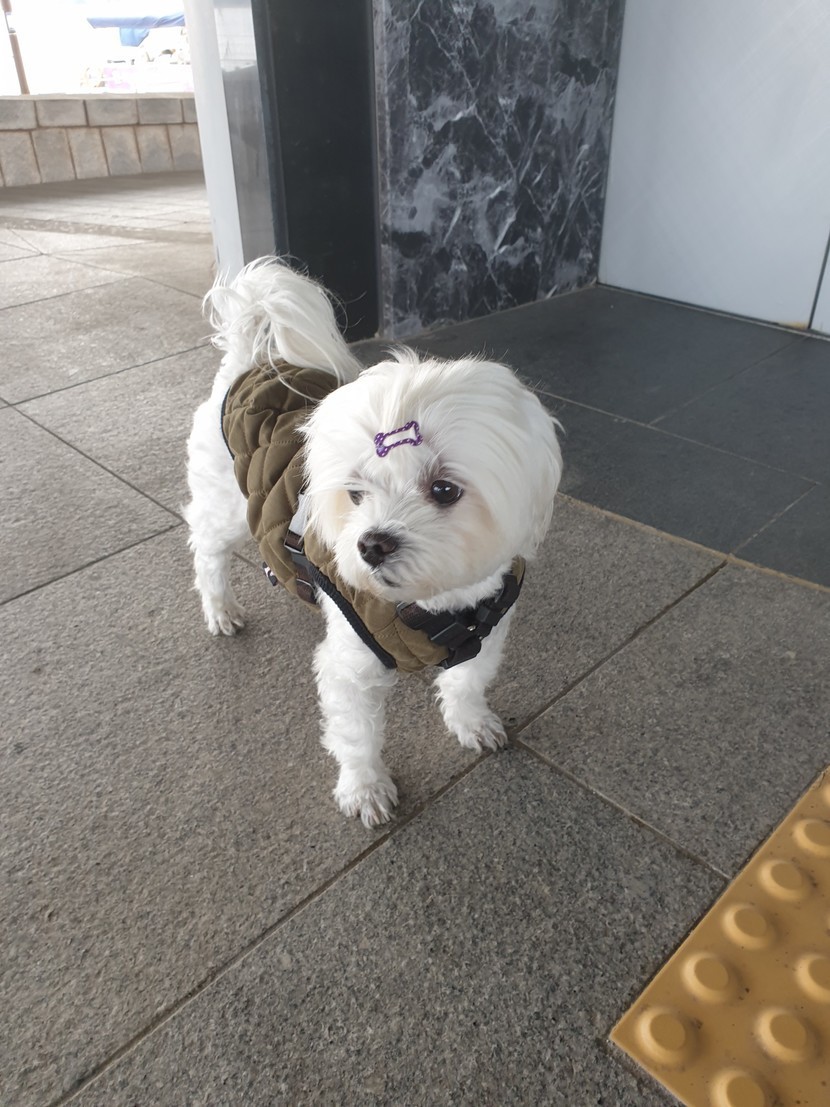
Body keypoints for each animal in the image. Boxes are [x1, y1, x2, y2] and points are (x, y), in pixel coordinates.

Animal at [185, 258, 562, 827]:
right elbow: (356, 733)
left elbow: (467, 682)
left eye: (444, 489)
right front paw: (365, 789)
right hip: (228, 503)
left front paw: (471, 722)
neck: (432, 607)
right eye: (355, 492)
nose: (372, 546)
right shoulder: (350, 668)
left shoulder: (488, 629)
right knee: (207, 547)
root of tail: (250, 362)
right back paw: (220, 607)